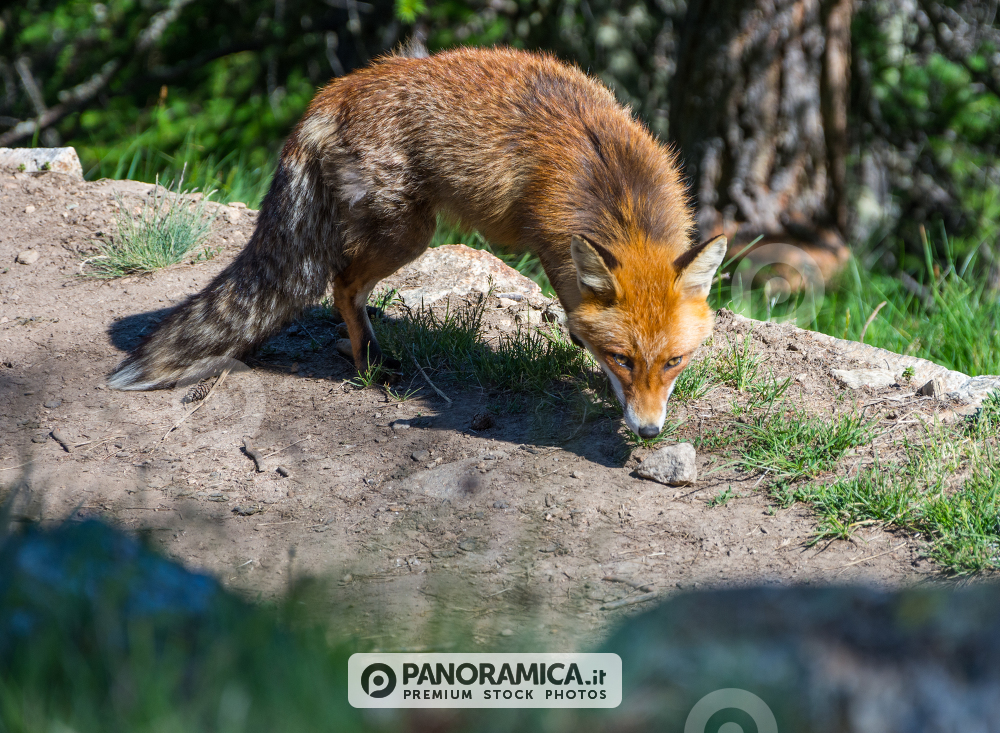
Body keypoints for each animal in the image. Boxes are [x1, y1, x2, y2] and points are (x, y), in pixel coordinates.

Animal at [108, 45, 727, 439]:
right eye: (625, 358)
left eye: (674, 361)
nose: (648, 432)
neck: (615, 189)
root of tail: (336, 89)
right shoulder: (556, 253)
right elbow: (579, 321)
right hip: (408, 236)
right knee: (342, 284)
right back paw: (367, 363)